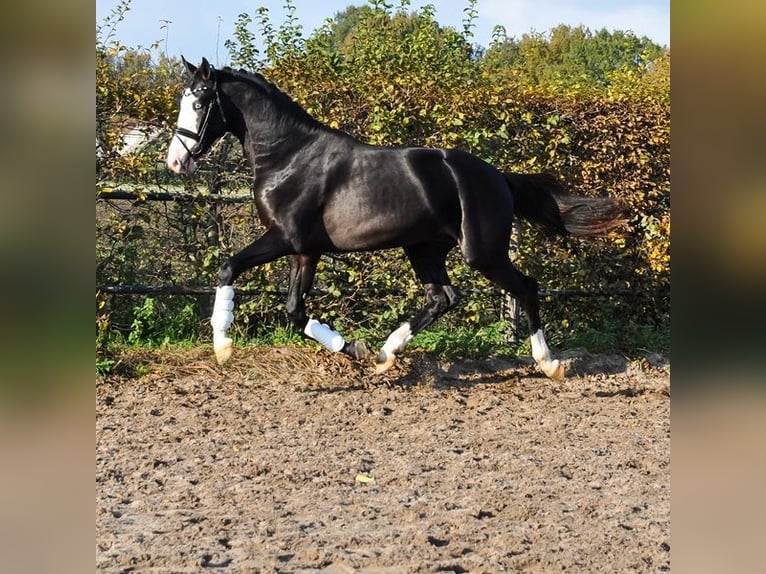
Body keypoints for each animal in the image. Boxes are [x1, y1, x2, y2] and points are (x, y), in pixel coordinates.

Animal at [168, 59, 624, 382]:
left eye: (199, 103)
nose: (175, 161)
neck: (289, 156)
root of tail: (498, 176)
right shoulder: (306, 251)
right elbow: (296, 311)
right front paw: (355, 349)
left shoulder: (284, 238)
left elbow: (228, 268)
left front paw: (223, 345)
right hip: (423, 248)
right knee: (443, 298)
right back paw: (385, 354)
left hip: (481, 252)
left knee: (525, 287)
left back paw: (549, 364)